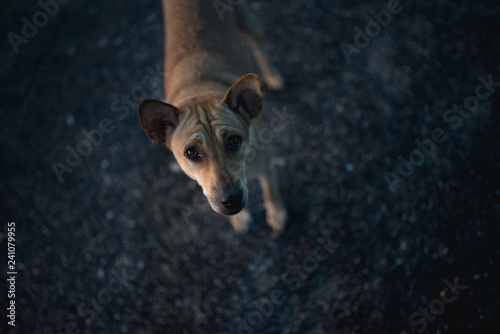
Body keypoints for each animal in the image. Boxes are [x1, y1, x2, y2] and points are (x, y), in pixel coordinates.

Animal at [138, 0, 286, 232]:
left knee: (258, 45)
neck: (199, 89)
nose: (231, 199)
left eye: (234, 141)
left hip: (246, 21)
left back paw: (272, 74)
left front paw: (276, 212)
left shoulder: (267, 160)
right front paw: (240, 218)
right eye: (191, 153)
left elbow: (271, 188)